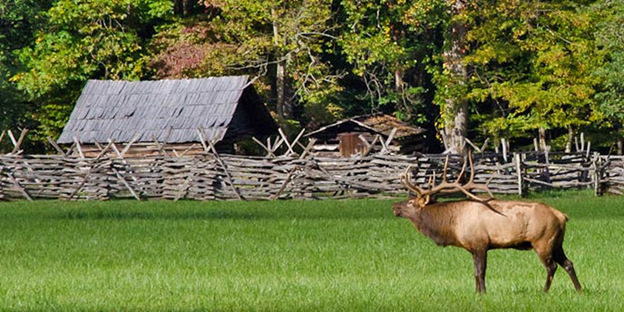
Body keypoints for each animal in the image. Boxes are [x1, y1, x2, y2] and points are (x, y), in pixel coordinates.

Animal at [392, 155, 584, 294]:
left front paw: (483, 293)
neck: (452, 225)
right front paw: (476, 293)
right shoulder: (472, 247)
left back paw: (544, 291)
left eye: (410, 202)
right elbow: (475, 272)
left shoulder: (481, 243)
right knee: (568, 263)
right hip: (557, 242)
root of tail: (562, 216)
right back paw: (579, 290)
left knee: (551, 266)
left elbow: (481, 271)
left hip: (542, 241)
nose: (394, 207)